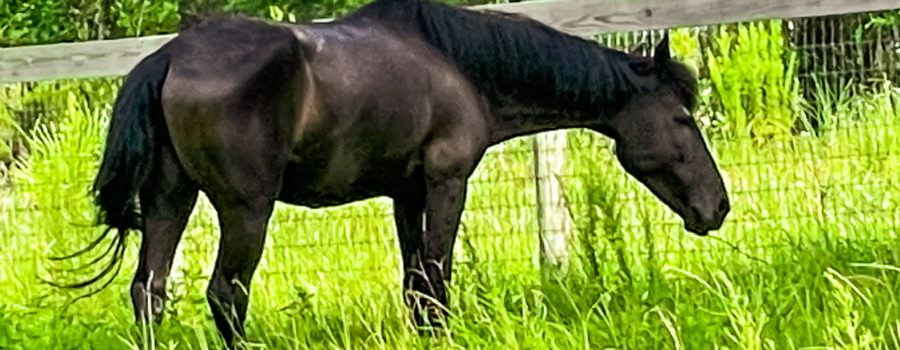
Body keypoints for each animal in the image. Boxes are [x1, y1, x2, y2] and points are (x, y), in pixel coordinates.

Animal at [77, 0, 728, 346]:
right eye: (680, 117)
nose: (717, 206)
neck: (458, 66)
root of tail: (171, 56)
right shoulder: (445, 184)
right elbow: (436, 281)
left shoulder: (404, 193)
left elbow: (415, 285)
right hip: (245, 210)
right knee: (226, 294)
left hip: (170, 200)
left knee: (149, 291)